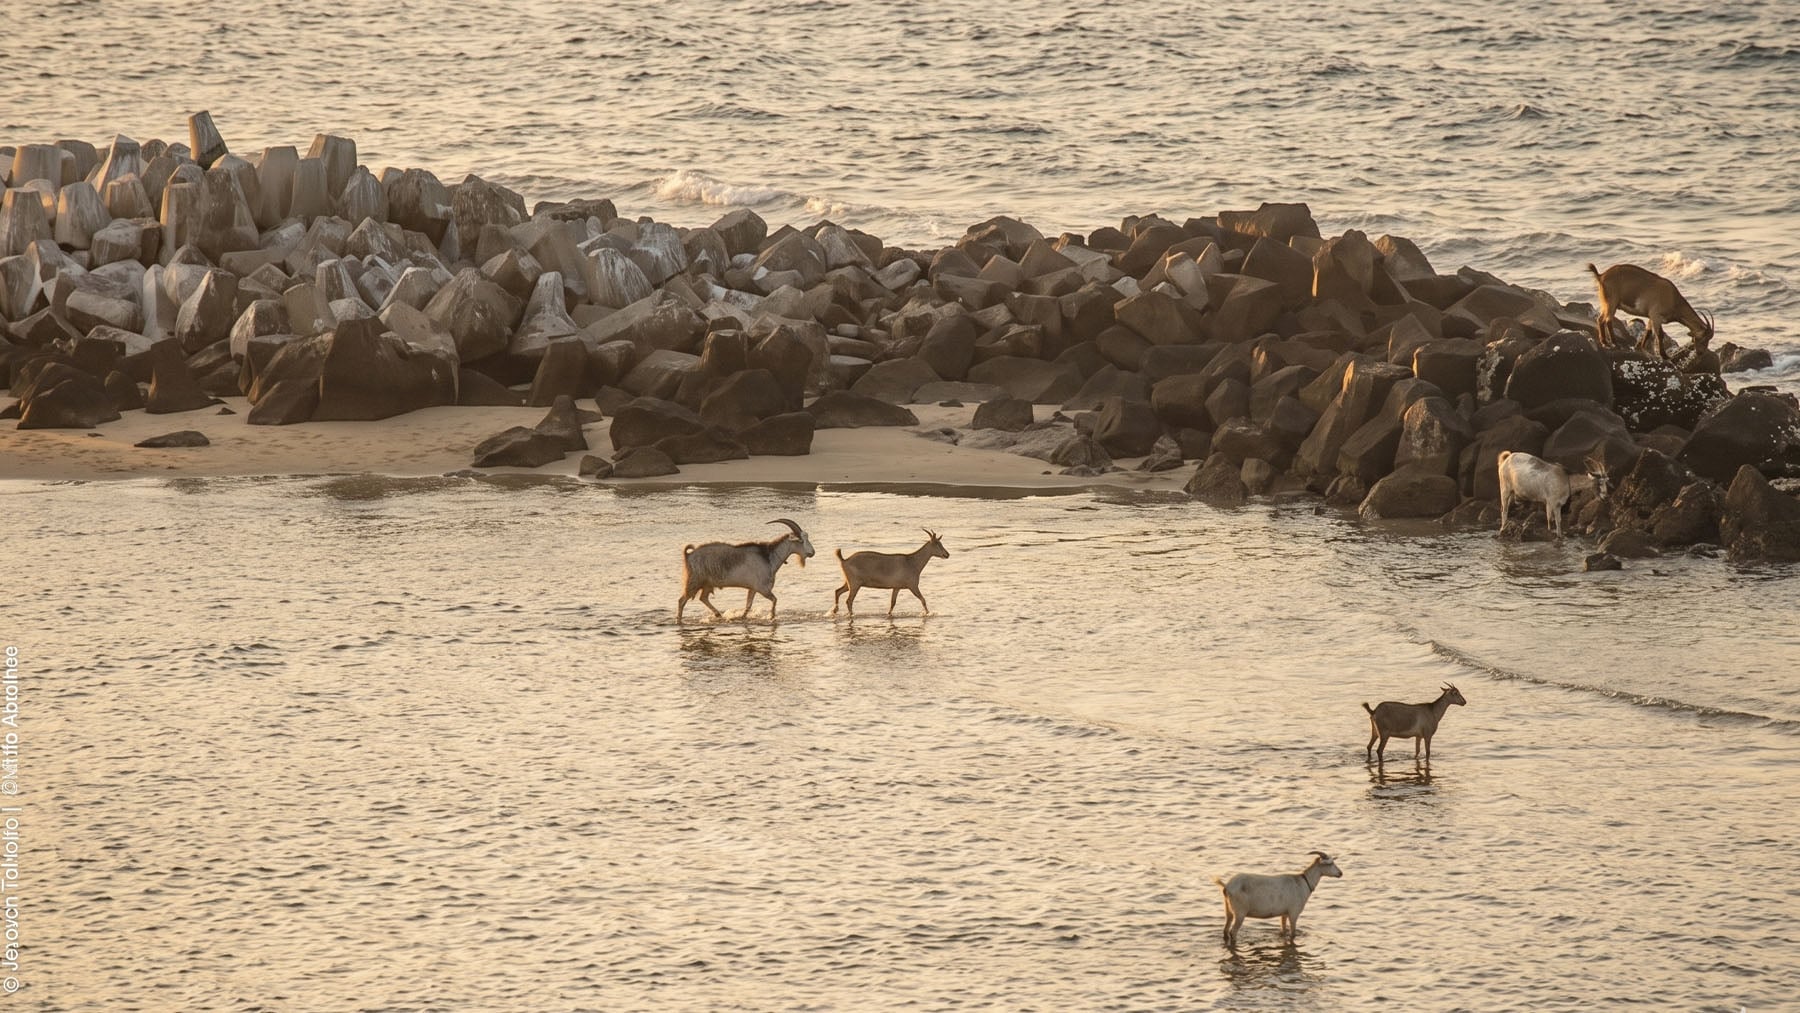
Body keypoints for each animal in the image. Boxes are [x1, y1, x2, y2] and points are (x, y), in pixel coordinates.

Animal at [677, 518, 814, 622]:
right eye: (801, 540)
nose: (812, 552)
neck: (769, 556)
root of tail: (688, 555)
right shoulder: (762, 588)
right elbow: (775, 600)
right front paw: (771, 616)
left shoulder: (752, 588)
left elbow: (748, 605)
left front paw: (742, 617)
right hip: (694, 581)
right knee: (682, 600)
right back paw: (679, 620)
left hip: (706, 584)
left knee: (703, 598)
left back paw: (718, 614)